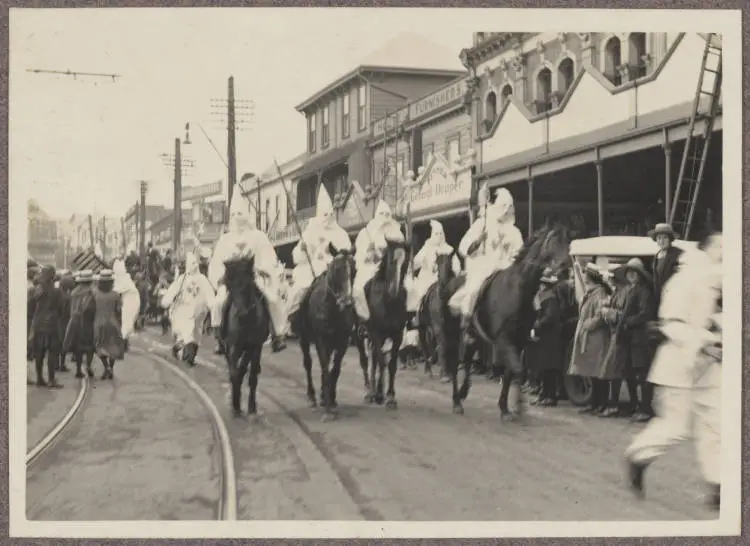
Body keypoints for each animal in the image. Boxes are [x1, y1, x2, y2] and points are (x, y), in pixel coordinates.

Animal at [223, 255, 270, 416]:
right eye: (228, 286)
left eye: (247, 285)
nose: (240, 313)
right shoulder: (233, 346)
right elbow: (234, 372)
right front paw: (235, 403)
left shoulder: (254, 346)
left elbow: (246, 372)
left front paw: (250, 406)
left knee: (252, 374)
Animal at [290, 243, 356, 420]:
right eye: (337, 269)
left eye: (354, 270)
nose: (347, 302)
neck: (333, 309)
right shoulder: (321, 340)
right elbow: (325, 368)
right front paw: (327, 407)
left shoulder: (342, 341)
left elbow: (335, 369)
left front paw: (331, 400)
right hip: (304, 339)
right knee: (308, 364)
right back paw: (312, 396)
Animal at [358, 238, 412, 408]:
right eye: (391, 260)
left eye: (405, 262)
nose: (394, 290)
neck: (388, 301)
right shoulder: (377, 333)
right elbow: (382, 362)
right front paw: (380, 395)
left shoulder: (397, 335)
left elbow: (392, 364)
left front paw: (390, 397)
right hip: (359, 335)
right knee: (365, 361)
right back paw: (369, 392)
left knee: (374, 358)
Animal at [464, 221, 568, 416]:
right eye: (552, 242)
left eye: (568, 242)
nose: (566, 268)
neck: (518, 289)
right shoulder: (504, 339)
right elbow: (517, 371)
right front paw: (516, 409)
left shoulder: (519, 341)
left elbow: (512, 373)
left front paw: (508, 407)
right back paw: (460, 394)